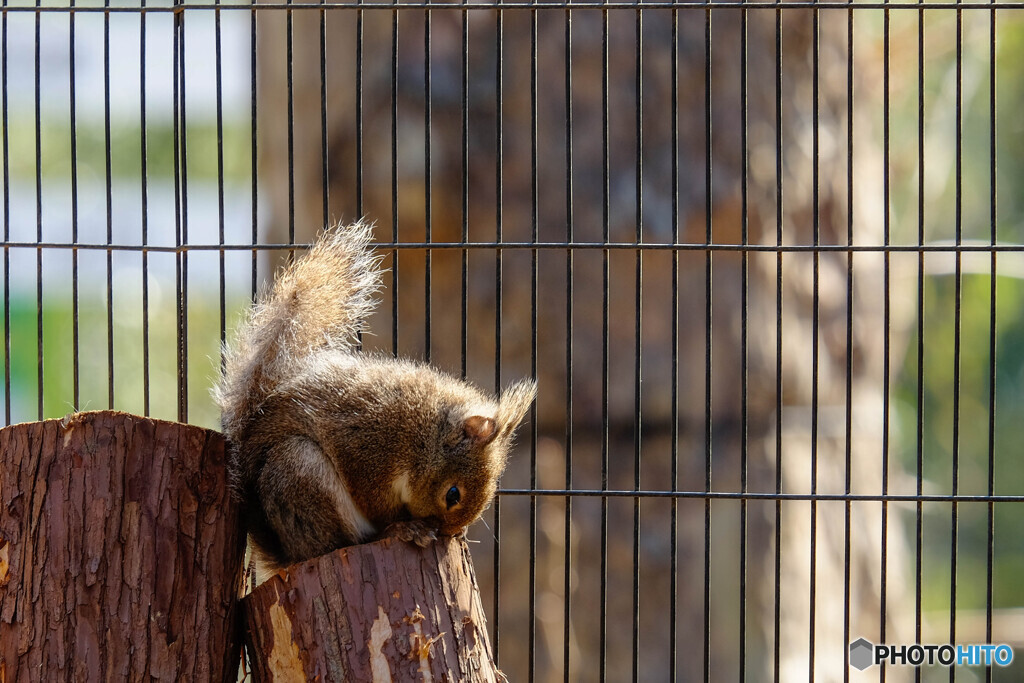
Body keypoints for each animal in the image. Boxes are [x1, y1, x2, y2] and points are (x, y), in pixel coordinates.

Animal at [215, 222, 536, 569]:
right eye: (453, 494)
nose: (448, 533)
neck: (424, 432)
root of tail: (291, 555)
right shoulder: (367, 448)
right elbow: (373, 502)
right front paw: (405, 524)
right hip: (299, 468)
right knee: (348, 538)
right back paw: (395, 531)